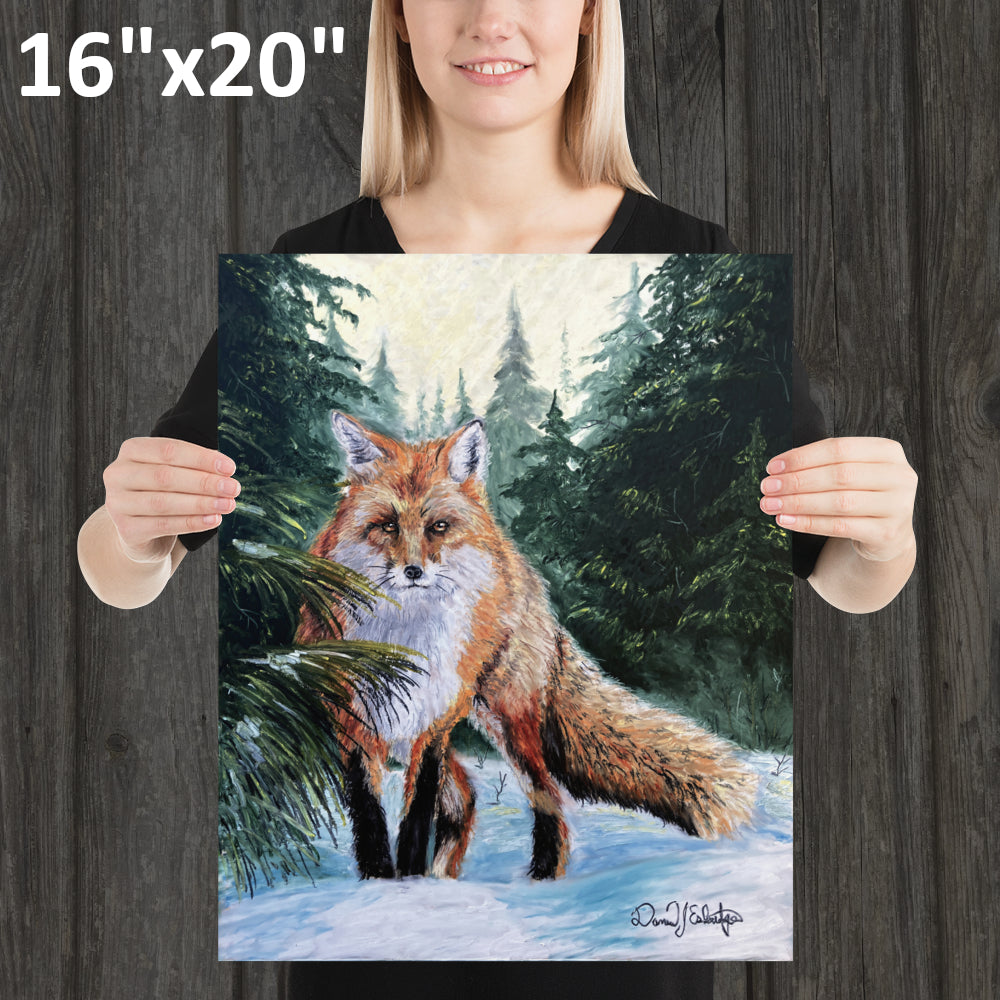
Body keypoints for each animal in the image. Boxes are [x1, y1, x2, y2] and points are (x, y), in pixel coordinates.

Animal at [294, 412, 758, 881]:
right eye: (388, 525)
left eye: (438, 527)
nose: (412, 571)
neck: (406, 637)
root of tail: (519, 565)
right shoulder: (355, 722)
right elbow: (370, 818)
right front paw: (382, 883)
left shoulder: (433, 723)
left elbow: (416, 819)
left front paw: (407, 884)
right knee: (466, 797)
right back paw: (447, 876)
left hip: (508, 720)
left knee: (547, 794)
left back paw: (543, 878)